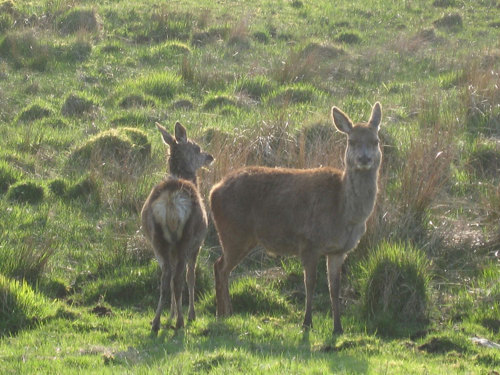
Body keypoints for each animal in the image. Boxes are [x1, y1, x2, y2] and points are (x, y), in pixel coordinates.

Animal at [141, 121, 213, 332]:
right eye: (197, 148)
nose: (210, 156)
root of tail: (171, 203)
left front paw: (171, 314)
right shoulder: (198, 244)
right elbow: (191, 277)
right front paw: (190, 314)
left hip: (157, 239)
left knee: (166, 278)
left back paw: (156, 321)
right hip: (187, 237)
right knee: (179, 278)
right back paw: (181, 321)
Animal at [210, 101, 382, 334]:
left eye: (376, 141)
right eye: (351, 141)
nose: (364, 159)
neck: (344, 213)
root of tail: (213, 190)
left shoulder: (339, 251)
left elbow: (334, 287)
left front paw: (338, 328)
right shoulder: (309, 242)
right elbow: (310, 283)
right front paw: (307, 322)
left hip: (240, 236)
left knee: (222, 267)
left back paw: (227, 312)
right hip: (233, 232)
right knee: (220, 267)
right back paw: (222, 313)